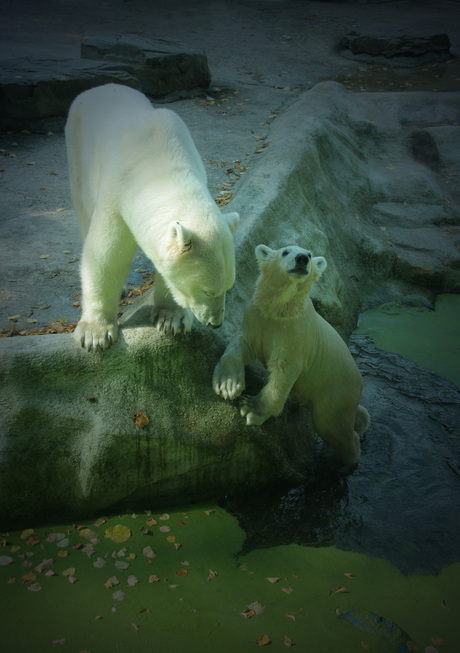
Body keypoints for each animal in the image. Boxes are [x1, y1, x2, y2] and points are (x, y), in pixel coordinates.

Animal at [64, 86, 239, 354]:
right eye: (208, 291)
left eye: (229, 287)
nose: (215, 323)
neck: (157, 170)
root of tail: (99, 88)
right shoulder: (117, 195)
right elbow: (104, 257)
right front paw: (96, 334)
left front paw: (172, 319)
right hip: (78, 150)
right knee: (83, 209)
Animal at [213, 243, 370, 464]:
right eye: (285, 251)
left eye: (311, 255)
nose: (302, 258)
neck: (281, 311)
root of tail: (360, 381)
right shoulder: (256, 316)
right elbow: (242, 344)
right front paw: (227, 385)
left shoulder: (294, 336)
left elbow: (283, 373)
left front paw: (251, 407)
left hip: (336, 390)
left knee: (332, 426)